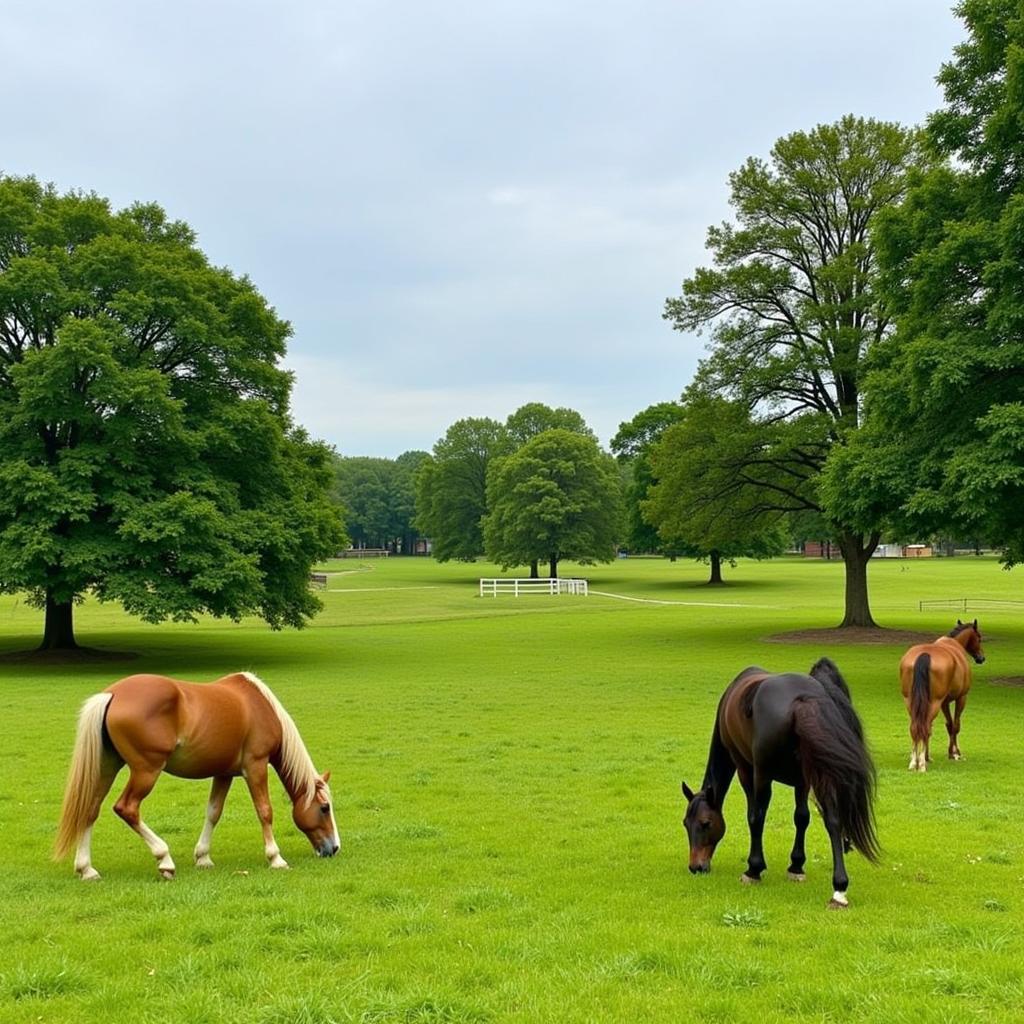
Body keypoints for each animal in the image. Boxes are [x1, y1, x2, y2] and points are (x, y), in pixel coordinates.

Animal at [54, 671, 342, 880]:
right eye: (324, 808)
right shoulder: (256, 767)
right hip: (146, 771)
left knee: (90, 810)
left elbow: (213, 812)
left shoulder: (224, 774)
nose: (334, 848)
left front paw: (203, 857)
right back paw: (164, 859)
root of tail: (111, 695)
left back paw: (86, 869)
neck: (260, 706)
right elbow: (265, 811)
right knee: (127, 808)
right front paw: (276, 858)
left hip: (107, 767)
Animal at [679, 663, 880, 913]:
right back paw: (839, 889)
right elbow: (802, 817)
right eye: (685, 824)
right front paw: (796, 865)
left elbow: (754, 816)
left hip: (764, 774)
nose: (695, 867)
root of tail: (802, 698)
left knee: (759, 816)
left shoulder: (746, 769)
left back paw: (754, 869)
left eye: (705, 823)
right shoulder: (803, 781)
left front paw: (754, 869)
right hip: (821, 774)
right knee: (833, 821)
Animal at [901, 618, 987, 770]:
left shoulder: (944, 702)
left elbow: (948, 725)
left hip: (911, 701)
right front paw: (955, 753)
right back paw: (921, 763)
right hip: (935, 702)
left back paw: (915, 760)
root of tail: (924, 655)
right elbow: (955, 725)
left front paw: (935, 755)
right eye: (979, 638)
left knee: (917, 726)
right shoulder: (961, 698)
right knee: (925, 725)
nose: (981, 658)